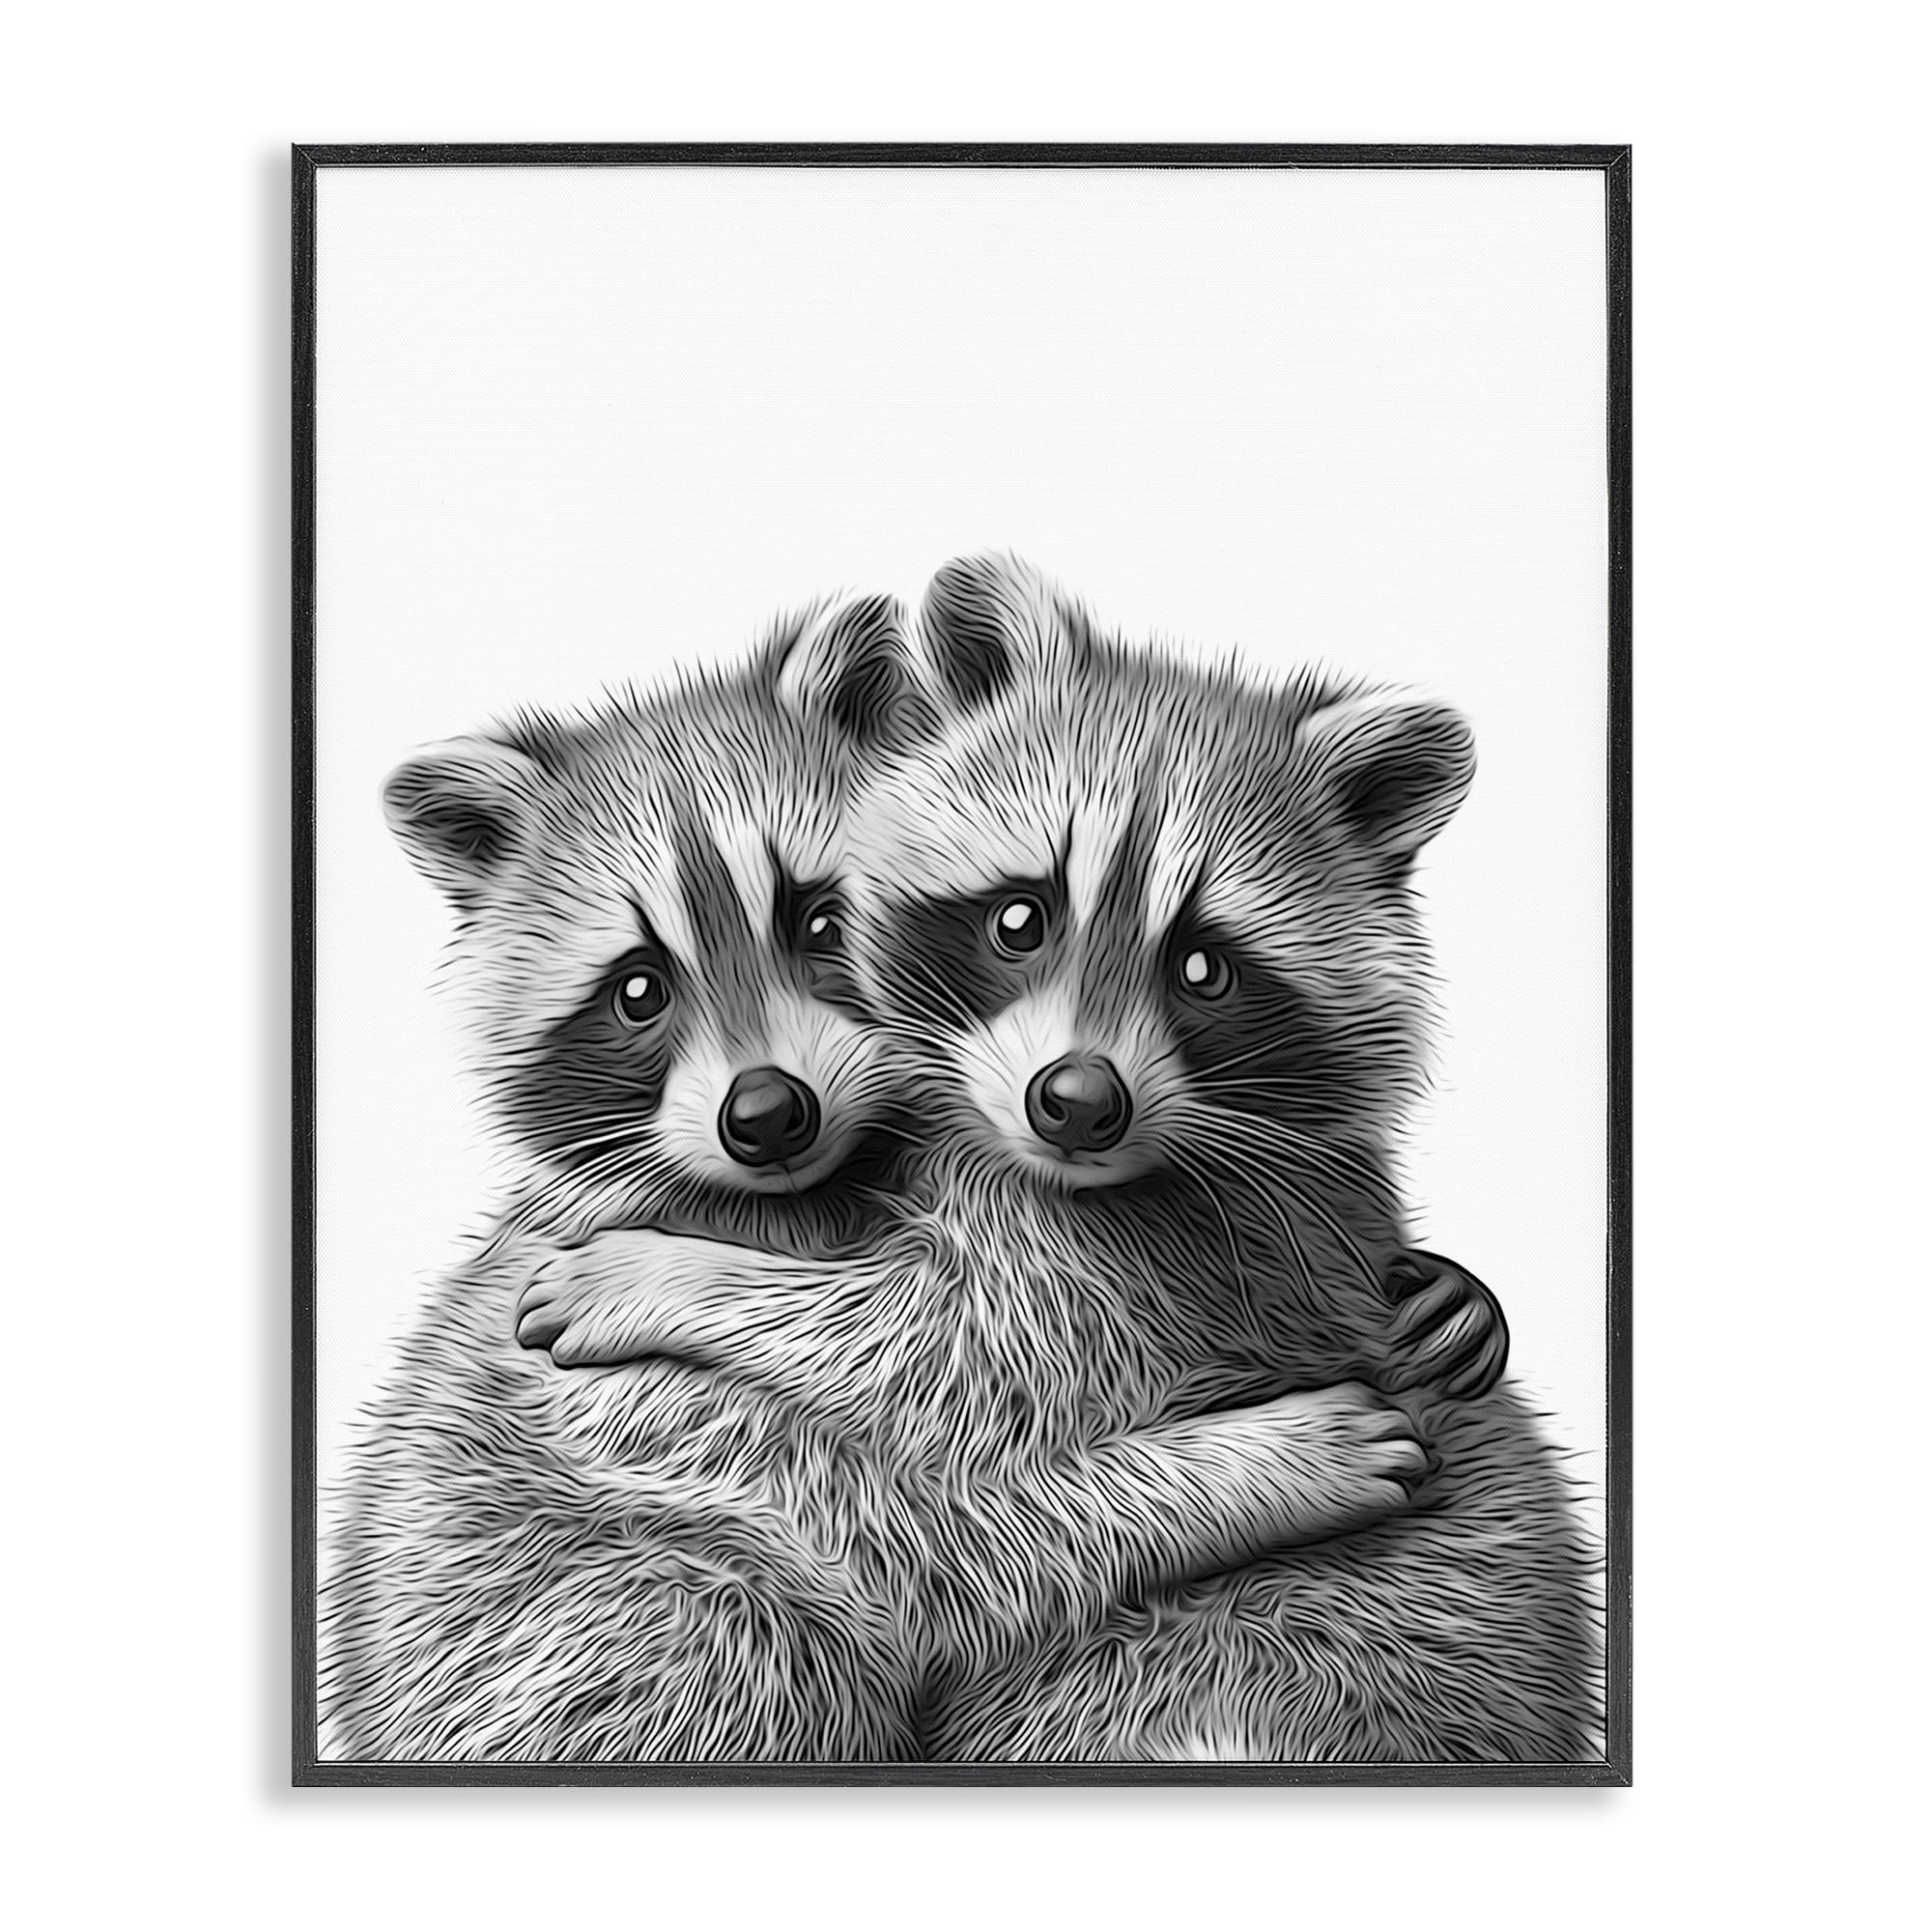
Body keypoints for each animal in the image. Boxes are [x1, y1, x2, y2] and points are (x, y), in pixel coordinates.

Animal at [321, 590, 1432, 1764]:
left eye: (818, 923)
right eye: (637, 991)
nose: (767, 1115)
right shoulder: (627, 1414)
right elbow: (926, 1543)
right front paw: (1252, 1467)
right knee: (737, 1626)